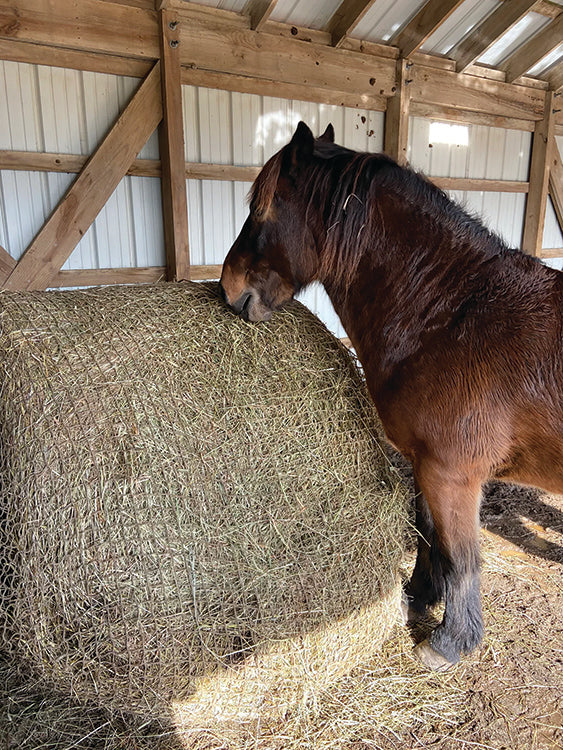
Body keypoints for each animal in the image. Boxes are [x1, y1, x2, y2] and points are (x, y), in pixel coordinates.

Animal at [219, 120, 563, 672]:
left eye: (264, 208)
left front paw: (449, 643)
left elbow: (461, 558)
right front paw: (419, 596)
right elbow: (428, 535)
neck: (451, 317)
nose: (228, 289)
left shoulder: (452, 474)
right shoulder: (425, 466)